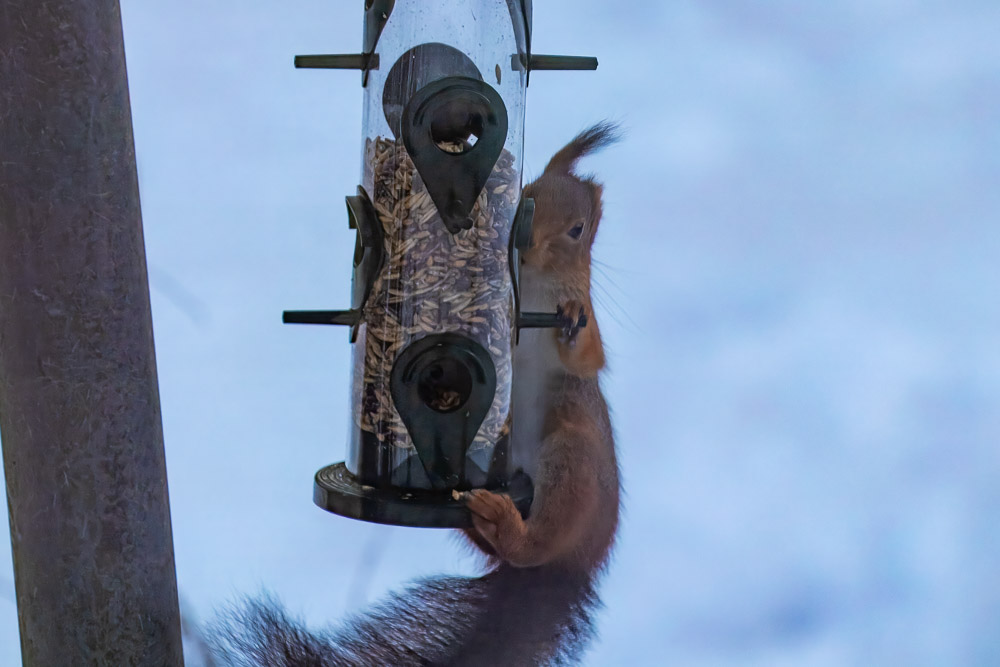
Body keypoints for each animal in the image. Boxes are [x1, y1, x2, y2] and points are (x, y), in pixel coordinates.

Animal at [208, 122, 620, 664]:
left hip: (574, 457)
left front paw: (572, 320)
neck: (531, 280)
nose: (526, 245)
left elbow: (588, 357)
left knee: (537, 543)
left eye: (578, 230)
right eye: (529, 193)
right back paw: (476, 513)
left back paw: (510, 529)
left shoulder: (580, 324)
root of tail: (575, 565)